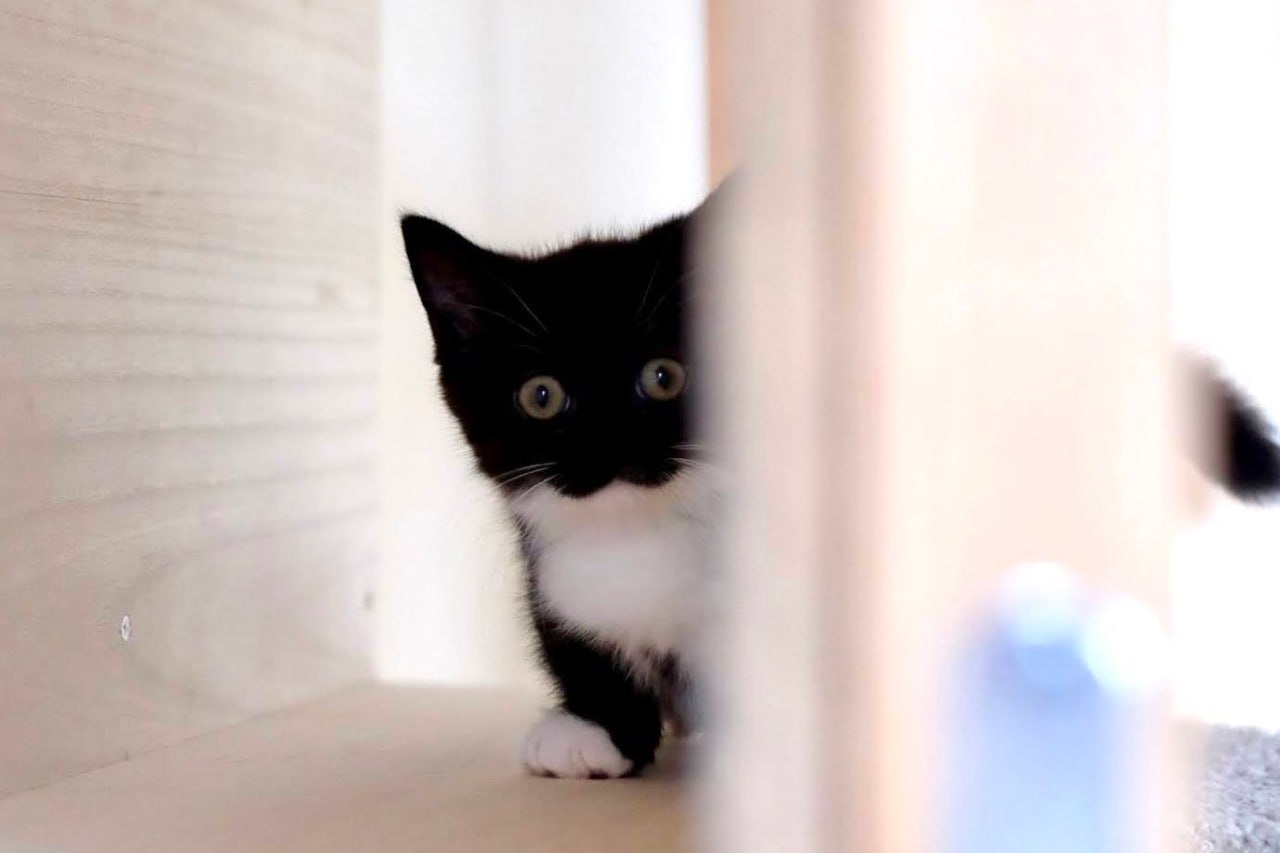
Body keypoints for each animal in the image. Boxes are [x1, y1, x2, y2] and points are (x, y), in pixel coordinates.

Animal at [401, 188, 1280, 779]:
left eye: (663, 376)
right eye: (541, 395)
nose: (611, 444)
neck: (643, 530)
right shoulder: (558, 578)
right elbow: (580, 647)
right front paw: (594, 730)